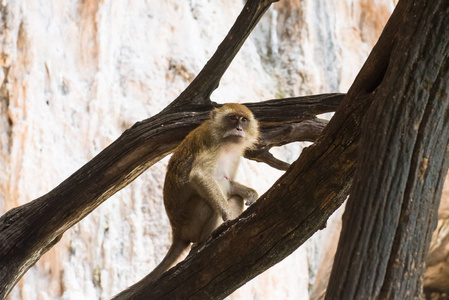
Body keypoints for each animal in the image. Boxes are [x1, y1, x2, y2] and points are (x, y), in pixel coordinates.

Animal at [147, 102, 258, 282]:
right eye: (233, 118)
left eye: (243, 120)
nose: (239, 128)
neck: (226, 145)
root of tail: (177, 233)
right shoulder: (212, 145)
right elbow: (200, 176)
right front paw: (229, 217)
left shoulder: (235, 155)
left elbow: (230, 184)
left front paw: (251, 193)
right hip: (190, 224)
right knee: (205, 201)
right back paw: (205, 240)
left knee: (234, 197)